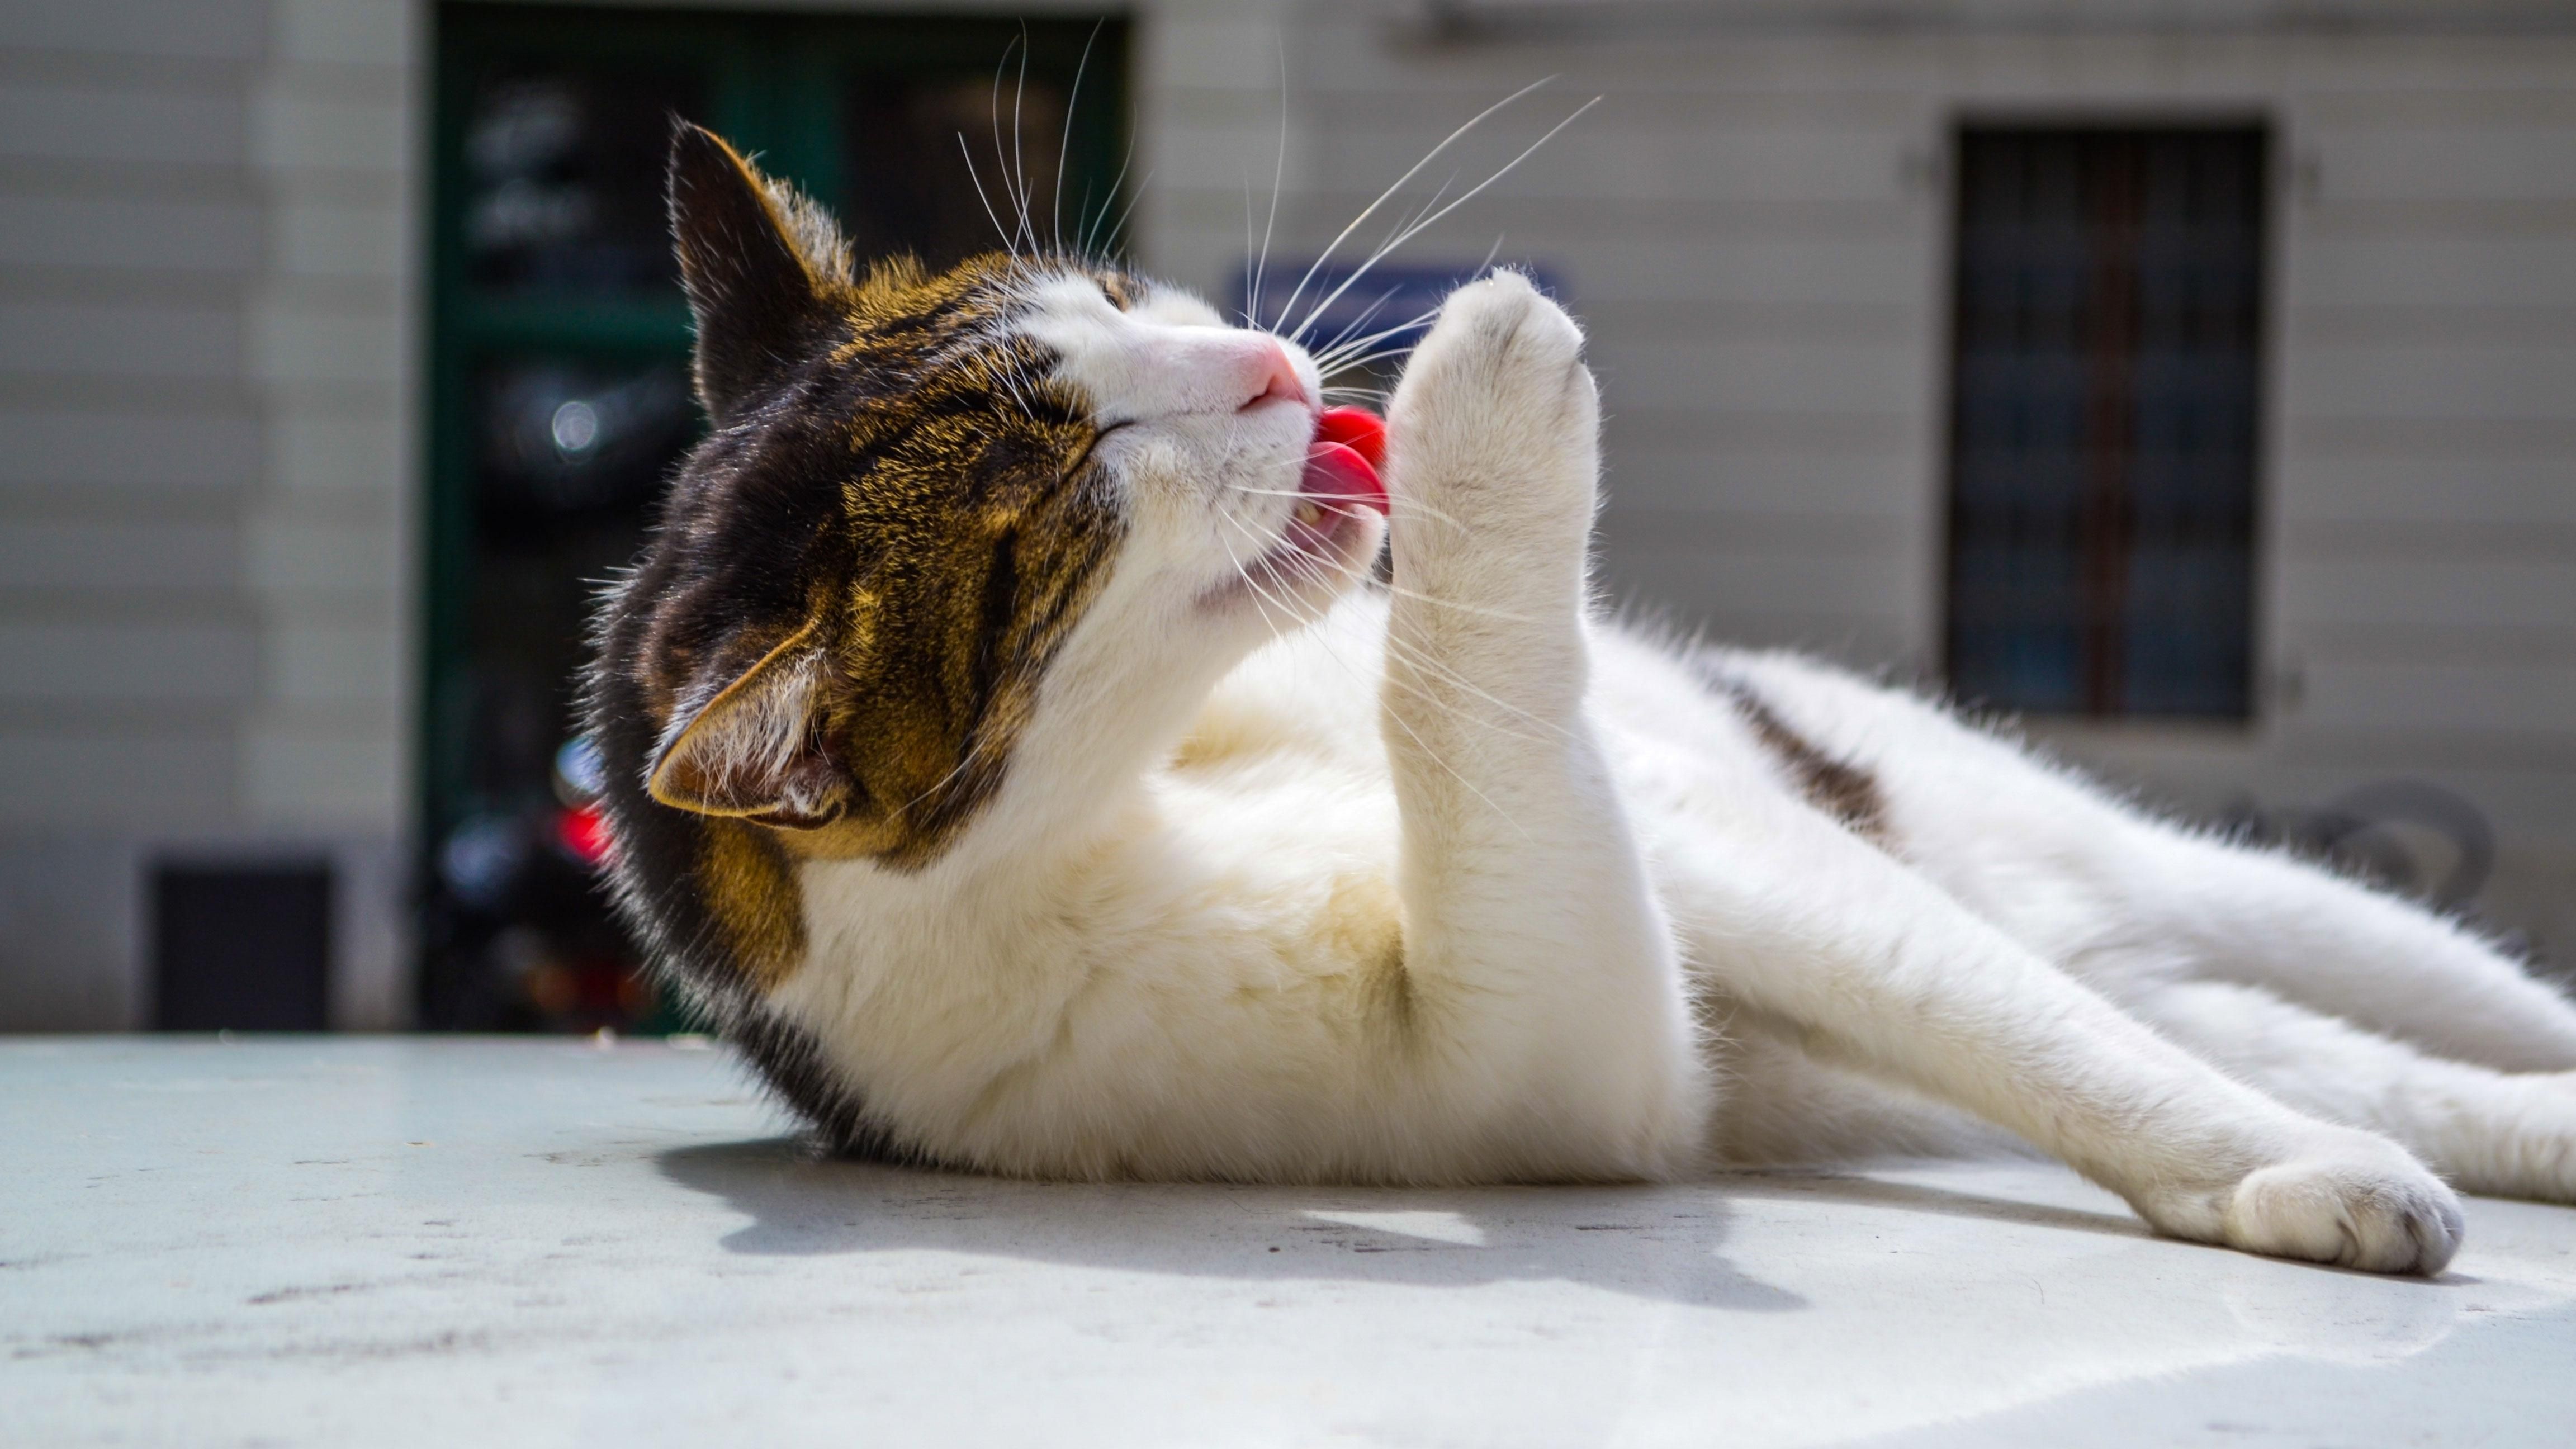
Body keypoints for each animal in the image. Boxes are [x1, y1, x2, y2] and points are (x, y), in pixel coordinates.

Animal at [585, 127, 2576, 1273]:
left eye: (1109, 296)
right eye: (1074, 484)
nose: (1269, 364)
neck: (1173, 760)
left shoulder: (1734, 856)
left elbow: (2001, 1015)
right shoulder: (1545, 1066)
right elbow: (1536, 901)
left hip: (2182, 880)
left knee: (2307, 993)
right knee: (2321, 1049)